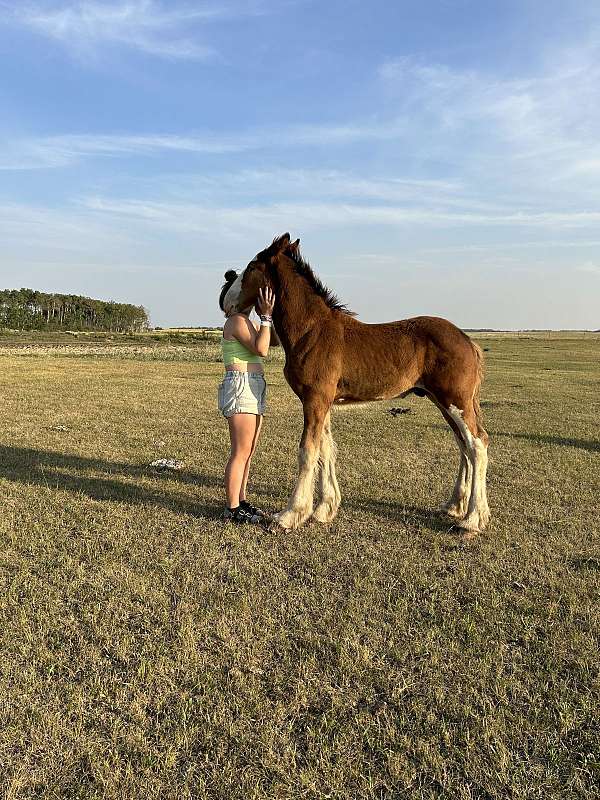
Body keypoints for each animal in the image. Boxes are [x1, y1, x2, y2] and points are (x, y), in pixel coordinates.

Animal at [223, 231, 490, 536]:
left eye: (252, 266)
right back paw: (455, 506)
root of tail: (468, 340)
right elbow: (326, 449)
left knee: (477, 444)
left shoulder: (315, 400)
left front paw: (290, 515)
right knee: (463, 445)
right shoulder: (323, 402)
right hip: (444, 403)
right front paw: (324, 510)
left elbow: (308, 451)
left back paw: (472, 520)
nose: (226, 302)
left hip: (455, 401)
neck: (311, 331)